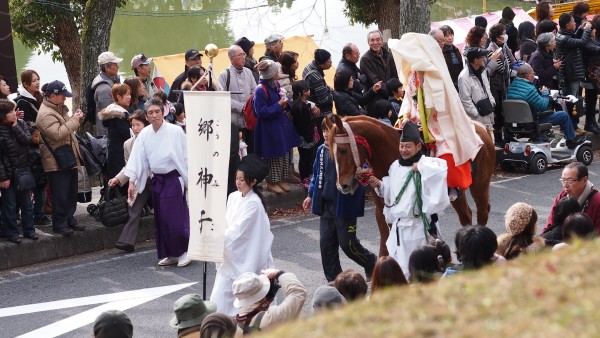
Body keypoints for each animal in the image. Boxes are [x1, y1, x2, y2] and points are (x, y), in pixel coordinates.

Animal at [326, 114, 494, 256]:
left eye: (343, 150)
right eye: (331, 154)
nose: (342, 186)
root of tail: (481, 127)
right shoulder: (381, 208)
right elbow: (385, 241)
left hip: (480, 184)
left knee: (482, 212)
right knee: (466, 215)